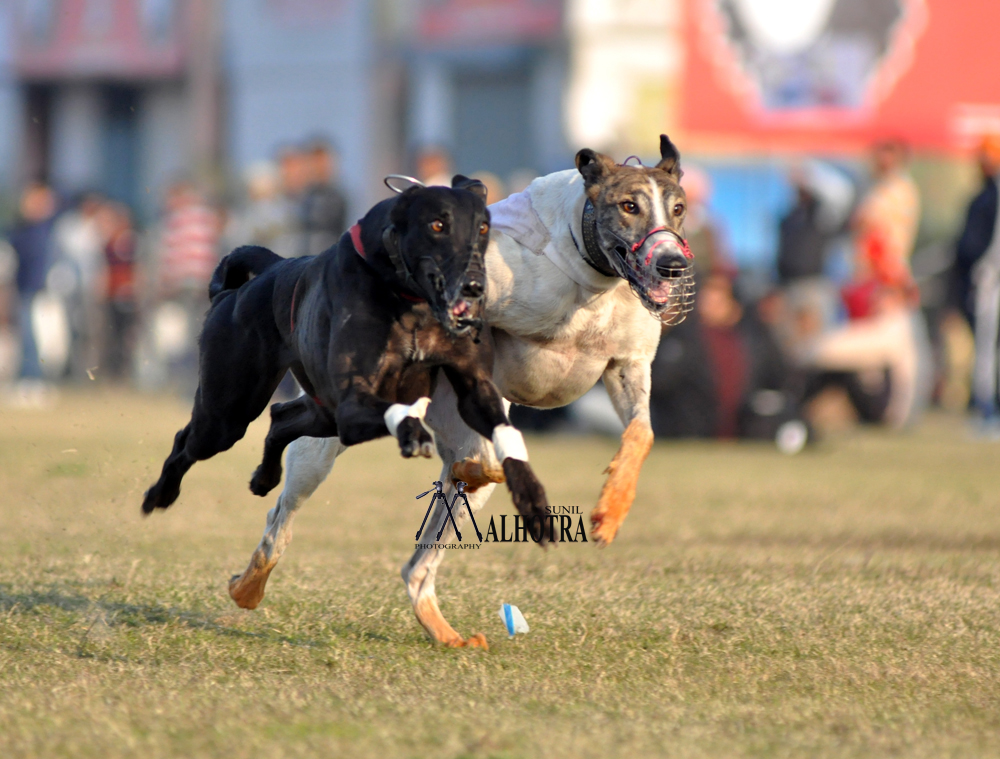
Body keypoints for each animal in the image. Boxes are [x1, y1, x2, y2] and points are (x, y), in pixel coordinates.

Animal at [141, 174, 552, 536]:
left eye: (482, 228)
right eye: (437, 224)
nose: (475, 286)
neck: (408, 297)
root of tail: (263, 273)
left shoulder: (473, 388)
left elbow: (503, 431)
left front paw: (533, 500)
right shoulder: (354, 404)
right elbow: (399, 413)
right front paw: (414, 432)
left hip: (322, 412)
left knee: (280, 418)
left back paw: (265, 476)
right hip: (227, 413)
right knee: (187, 441)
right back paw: (160, 494)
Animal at [229, 135, 696, 648]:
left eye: (678, 208)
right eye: (629, 205)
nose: (673, 264)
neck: (587, 272)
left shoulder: (627, 366)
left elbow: (642, 433)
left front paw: (611, 509)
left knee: (426, 553)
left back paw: (443, 619)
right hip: (322, 445)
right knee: (282, 515)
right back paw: (249, 583)